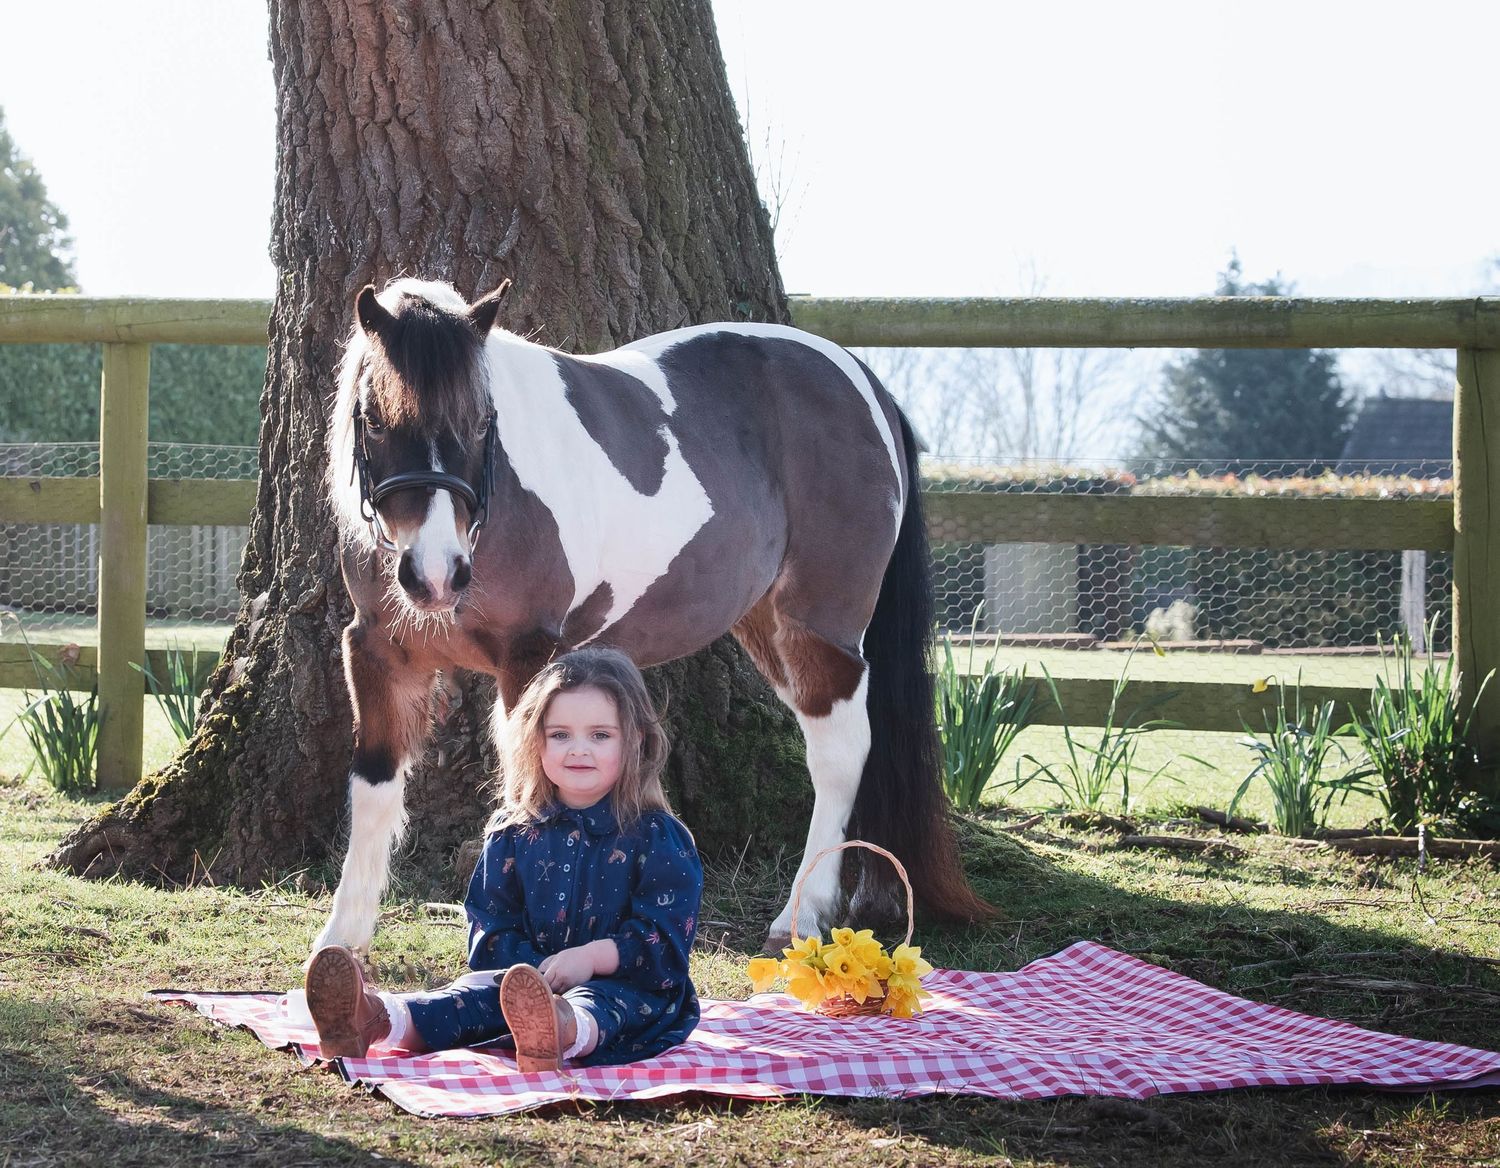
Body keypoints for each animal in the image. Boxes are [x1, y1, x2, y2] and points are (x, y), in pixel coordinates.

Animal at [314, 276, 992, 956]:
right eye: (376, 421)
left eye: (482, 422)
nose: (435, 575)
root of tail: (862, 380)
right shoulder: (378, 651)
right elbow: (373, 784)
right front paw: (340, 945)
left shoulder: (528, 654)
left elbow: (521, 784)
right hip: (765, 626)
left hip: (818, 627)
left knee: (841, 755)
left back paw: (802, 918)